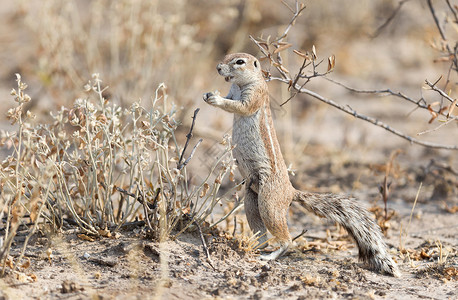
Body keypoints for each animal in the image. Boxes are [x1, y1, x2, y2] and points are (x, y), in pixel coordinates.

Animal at [204, 52, 400, 276]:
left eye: (239, 62)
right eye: (227, 56)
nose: (218, 68)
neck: (242, 83)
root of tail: (291, 192)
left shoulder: (255, 95)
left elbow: (239, 106)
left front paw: (215, 98)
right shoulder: (233, 92)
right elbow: (230, 101)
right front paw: (208, 95)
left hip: (269, 202)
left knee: (287, 240)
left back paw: (271, 254)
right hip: (252, 199)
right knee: (260, 229)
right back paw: (252, 246)